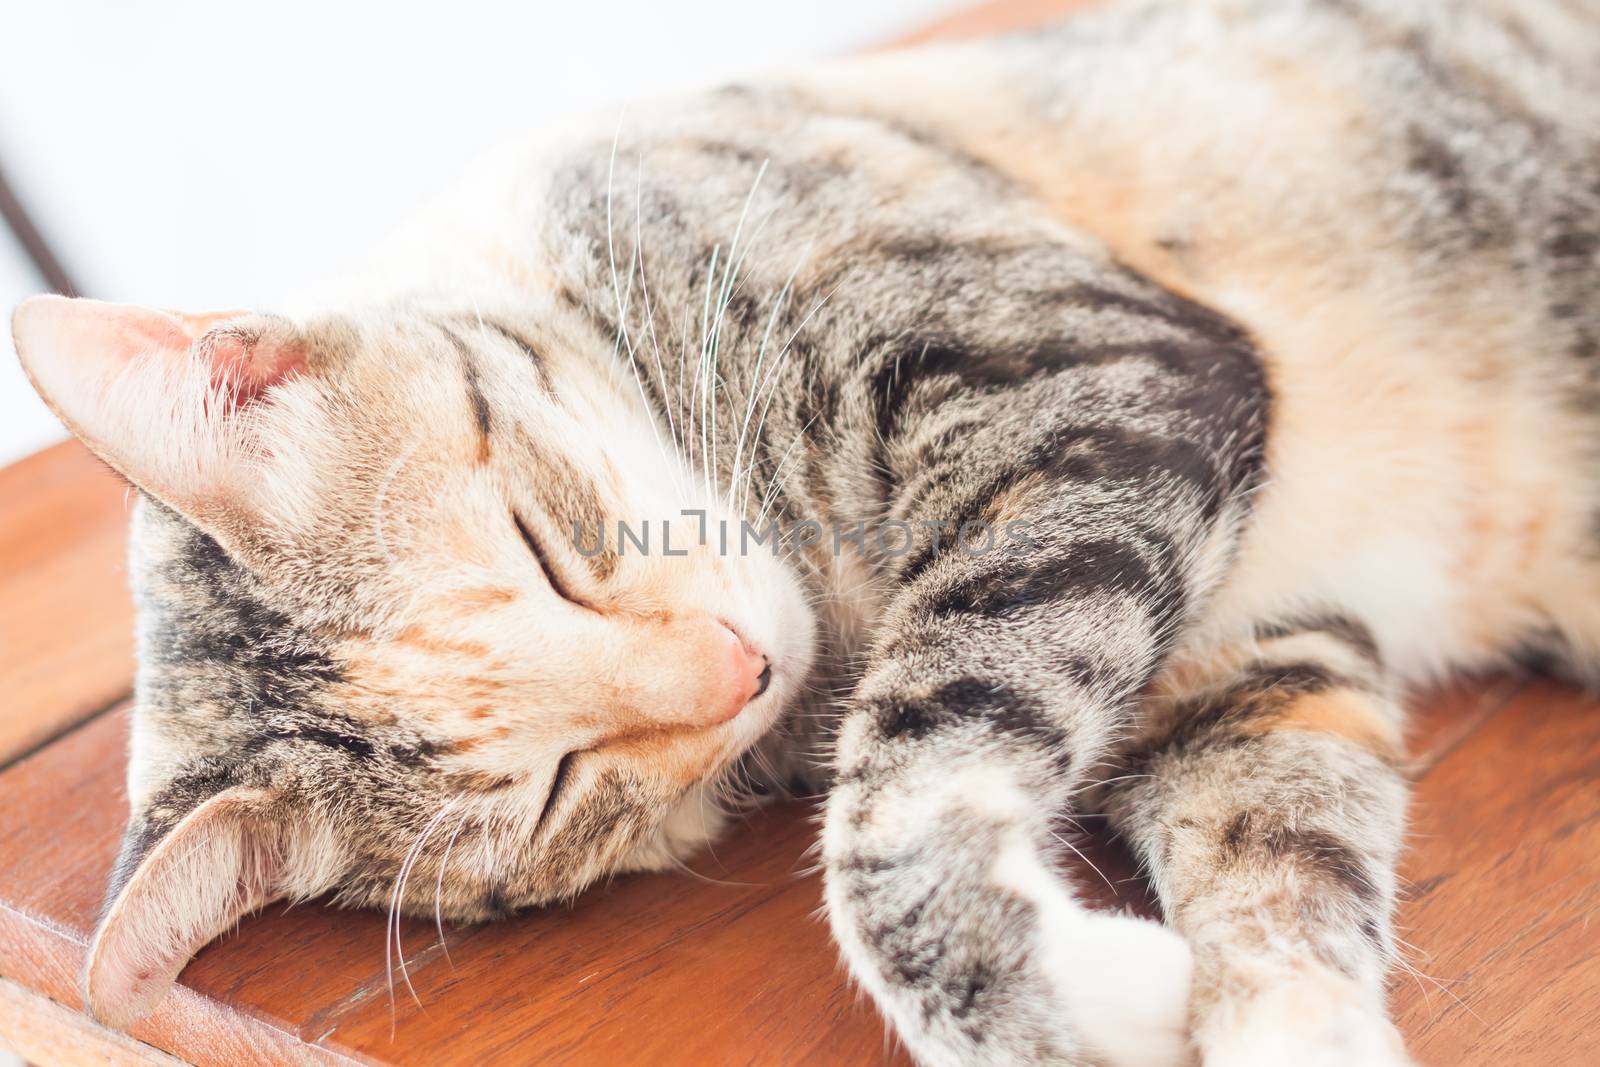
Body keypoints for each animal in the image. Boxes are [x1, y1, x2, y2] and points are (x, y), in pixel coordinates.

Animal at [12, 0, 1600, 1062]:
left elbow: (892, 794)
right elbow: (1282, 869)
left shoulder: (1104, 381)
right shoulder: (1247, 654)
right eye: (558, 789)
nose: (740, 670)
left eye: (541, 540)